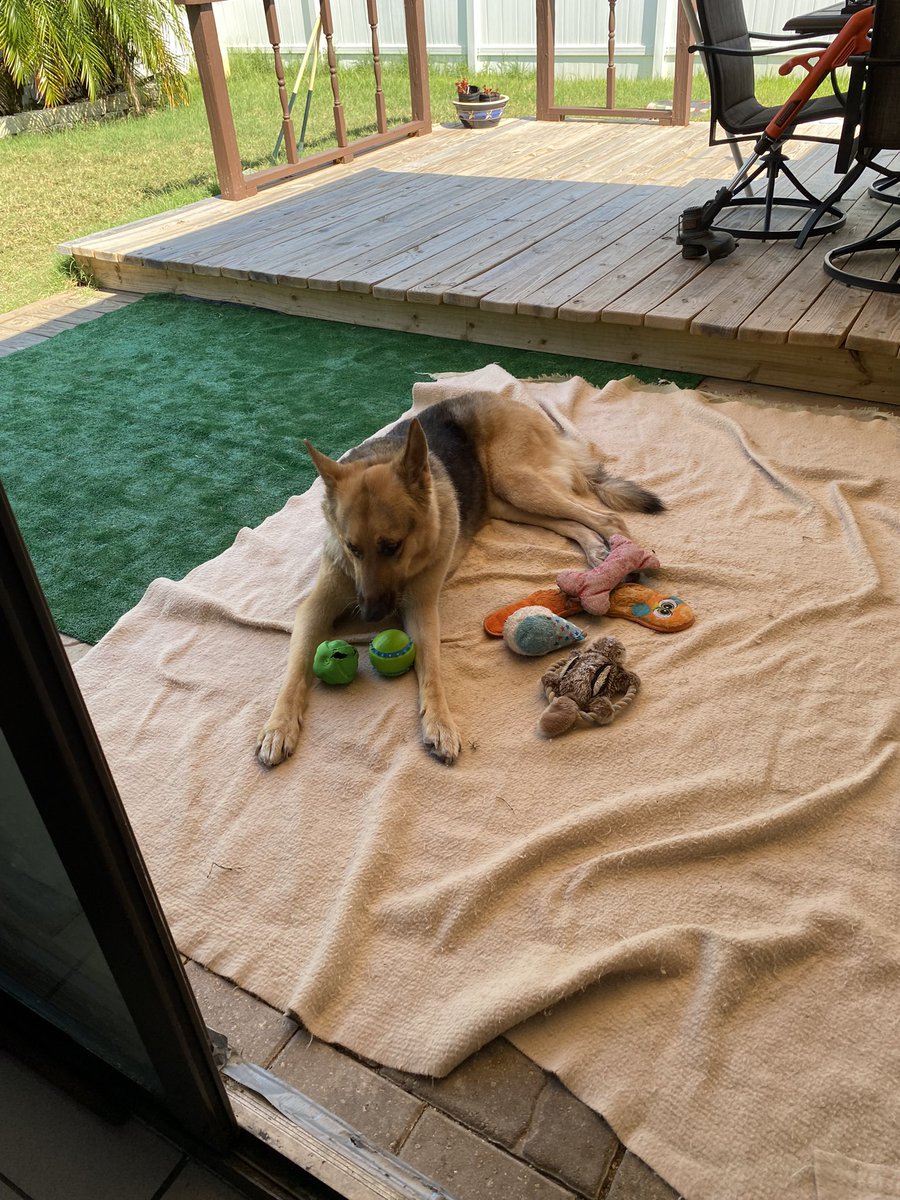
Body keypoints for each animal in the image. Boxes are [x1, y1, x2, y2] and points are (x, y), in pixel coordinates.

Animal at [254, 393, 662, 768]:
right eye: (352, 547)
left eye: (392, 546)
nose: (369, 616)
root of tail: (511, 399)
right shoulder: (315, 607)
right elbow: (295, 668)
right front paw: (278, 726)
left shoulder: (421, 609)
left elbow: (431, 669)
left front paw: (439, 724)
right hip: (507, 502)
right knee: (577, 524)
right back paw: (597, 554)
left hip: (517, 483)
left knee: (606, 518)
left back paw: (624, 559)